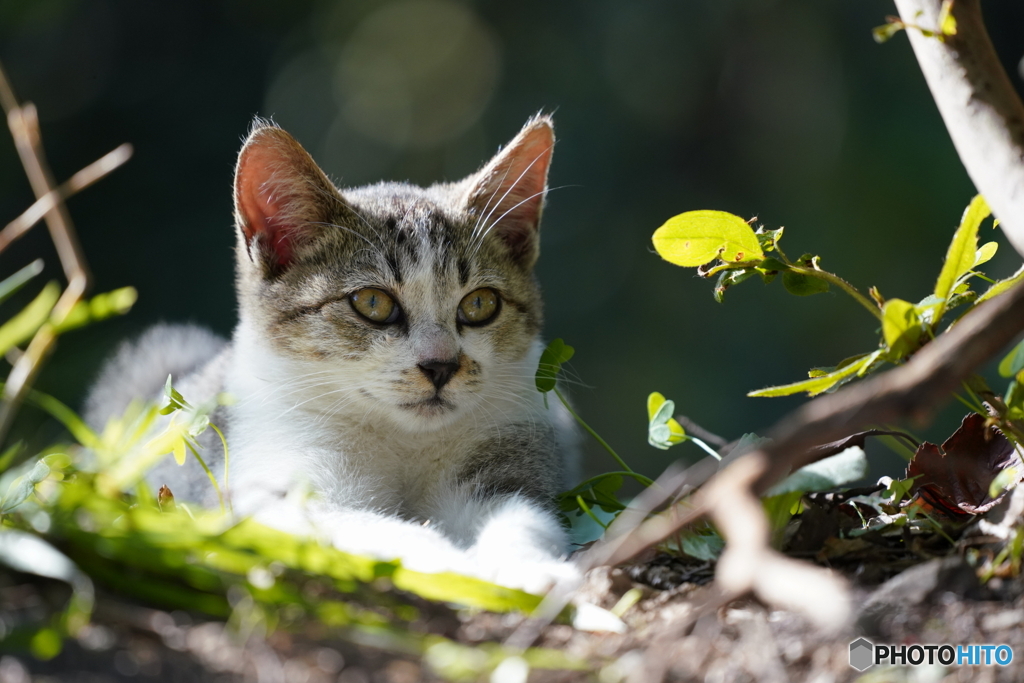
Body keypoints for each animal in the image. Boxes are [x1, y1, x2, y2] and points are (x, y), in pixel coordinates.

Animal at [86, 113, 585, 593]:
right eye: (373, 303)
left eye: (480, 304)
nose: (441, 366)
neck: (402, 439)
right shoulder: (274, 489)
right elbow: (370, 532)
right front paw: (454, 566)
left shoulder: (512, 439)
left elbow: (523, 515)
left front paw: (532, 570)